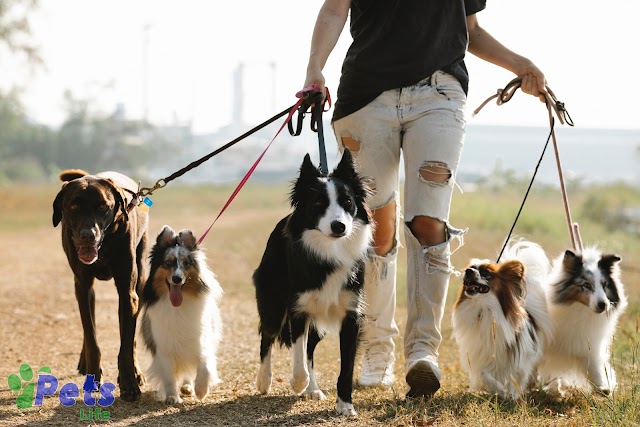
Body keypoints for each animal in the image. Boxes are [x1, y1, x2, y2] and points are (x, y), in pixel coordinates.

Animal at [53, 170, 149, 402]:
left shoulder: (128, 293)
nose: (88, 235)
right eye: (73, 207)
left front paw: (129, 383)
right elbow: (91, 336)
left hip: (140, 281)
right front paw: (93, 376)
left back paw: (136, 372)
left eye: (103, 207)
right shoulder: (82, 286)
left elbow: (126, 344)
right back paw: (84, 360)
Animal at [140, 227, 222, 404]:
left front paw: (201, 391)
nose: (177, 279)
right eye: (167, 262)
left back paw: (189, 387)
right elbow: (169, 376)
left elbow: (205, 366)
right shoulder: (164, 347)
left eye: (186, 263)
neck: (178, 306)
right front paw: (172, 397)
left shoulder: (201, 341)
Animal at [252, 149, 372, 416]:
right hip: (273, 300)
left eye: (348, 202)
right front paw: (298, 383)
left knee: (310, 349)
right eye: (318, 204)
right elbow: (297, 356)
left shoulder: (351, 314)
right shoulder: (299, 309)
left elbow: (345, 366)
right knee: (267, 336)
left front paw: (345, 405)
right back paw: (265, 381)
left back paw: (313, 389)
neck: (329, 251)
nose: (339, 226)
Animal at [450, 242, 556, 400]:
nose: (468, 271)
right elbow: (484, 374)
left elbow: (515, 378)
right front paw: (500, 390)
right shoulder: (481, 355)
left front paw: (511, 394)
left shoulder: (519, 359)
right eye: (471, 268)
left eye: (486, 273)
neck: (484, 309)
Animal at [536, 247, 628, 398]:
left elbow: (594, 366)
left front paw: (603, 387)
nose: (603, 305)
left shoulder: (587, 344)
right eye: (586, 285)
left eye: (605, 285)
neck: (580, 310)